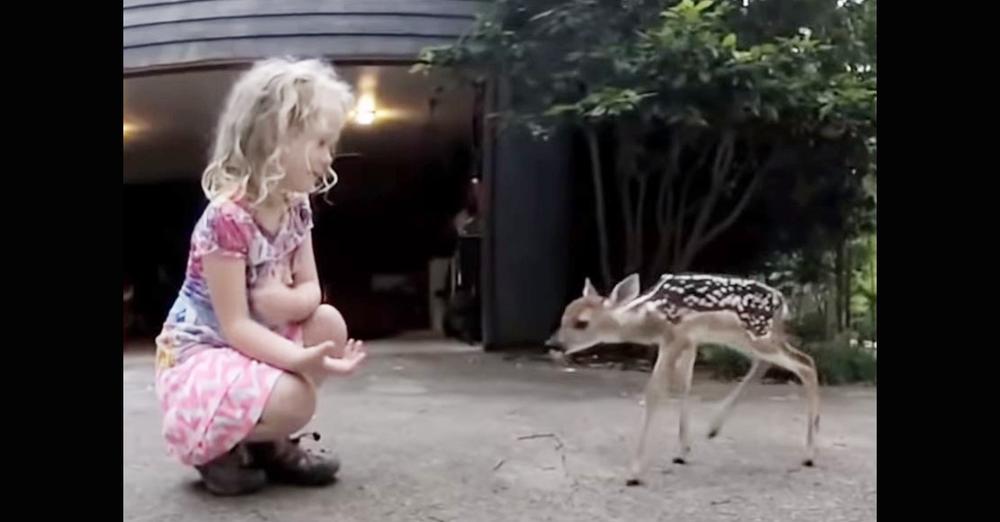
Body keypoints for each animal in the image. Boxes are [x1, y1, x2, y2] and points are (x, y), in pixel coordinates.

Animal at [548, 272, 820, 484]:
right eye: (563, 315)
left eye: (582, 323)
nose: (553, 344)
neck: (650, 317)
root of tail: (782, 302)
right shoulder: (690, 341)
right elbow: (685, 385)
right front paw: (682, 450)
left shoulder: (675, 338)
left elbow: (655, 391)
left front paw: (634, 472)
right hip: (742, 337)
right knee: (768, 362)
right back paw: (713, 427)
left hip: (757, 333)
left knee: (805, 363)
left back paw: (809, 454)